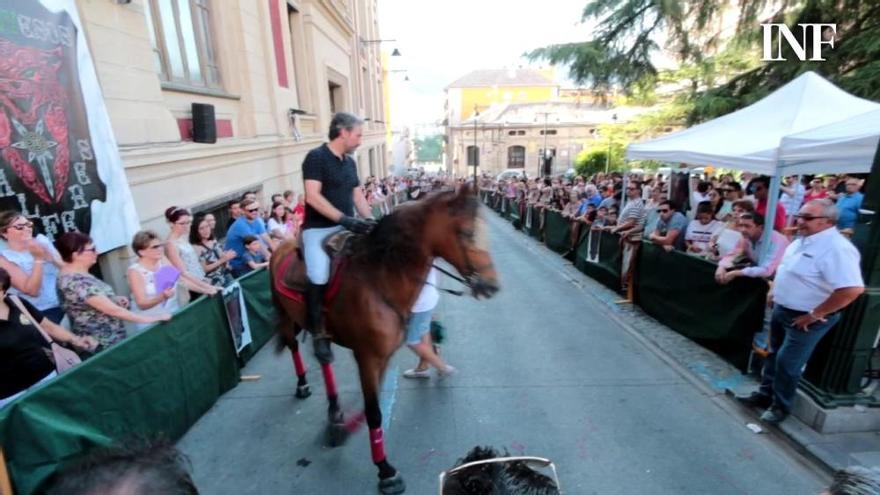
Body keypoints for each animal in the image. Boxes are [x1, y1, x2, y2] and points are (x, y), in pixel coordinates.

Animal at [270, 187, 496, 495]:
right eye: (466, 232)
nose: (492, 284)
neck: (379, 279)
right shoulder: (367, 356)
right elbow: (374, 412)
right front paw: (386, 471)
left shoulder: (384, 356)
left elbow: (370, 406)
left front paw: (340, 430)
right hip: (284, 315)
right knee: (294, 346)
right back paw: (303, 385)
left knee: (324, 357)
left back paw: (334, 411)